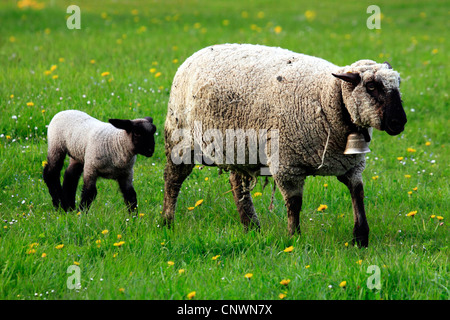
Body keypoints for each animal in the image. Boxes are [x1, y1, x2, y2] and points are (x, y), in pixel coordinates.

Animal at [163, 43, 408, 248]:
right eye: (371, 86)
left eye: (398, 84)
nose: (399, 122)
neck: (325, 96)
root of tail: (198, 53)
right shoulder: (287, 165)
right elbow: (294, 204)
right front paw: (294, 238)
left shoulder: (352, 165)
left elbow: (358, 194)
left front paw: (360, 238)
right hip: (180, 138)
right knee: (173, 179)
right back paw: (166, 222)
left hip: (239, 148)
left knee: (237, 184)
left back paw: (252, 227)